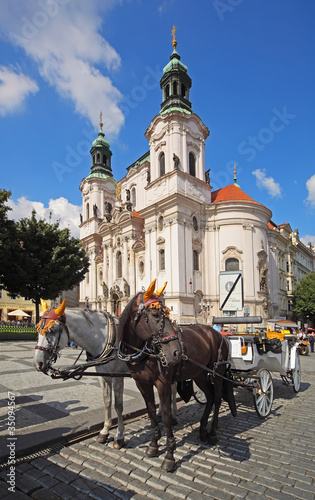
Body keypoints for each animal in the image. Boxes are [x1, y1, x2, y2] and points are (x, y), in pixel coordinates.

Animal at [34, 298, 178, 448]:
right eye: (38, 329)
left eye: (52, 330)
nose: (38, 363)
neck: (106, 339)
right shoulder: (103, 376)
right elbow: (107, 402)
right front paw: (104, 431)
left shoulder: (117, 376)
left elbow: (118, 405)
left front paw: (119, 436)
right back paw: (161, 413)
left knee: (173, 389)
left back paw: (173, 415)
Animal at [118, 280, 237, 470]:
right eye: (155, 314)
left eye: (166, 313)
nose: (176, 352)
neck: (144, 352)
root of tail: (219, 334)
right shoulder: (142, 383)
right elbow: (151, 413)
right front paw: (153, 446)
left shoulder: (163, 383)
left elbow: (166, 416)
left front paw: (169, 455)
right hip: (200, 374)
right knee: (210, 396)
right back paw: (202, 430)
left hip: (216, 373)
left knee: (217, 398)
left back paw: (212, 432)